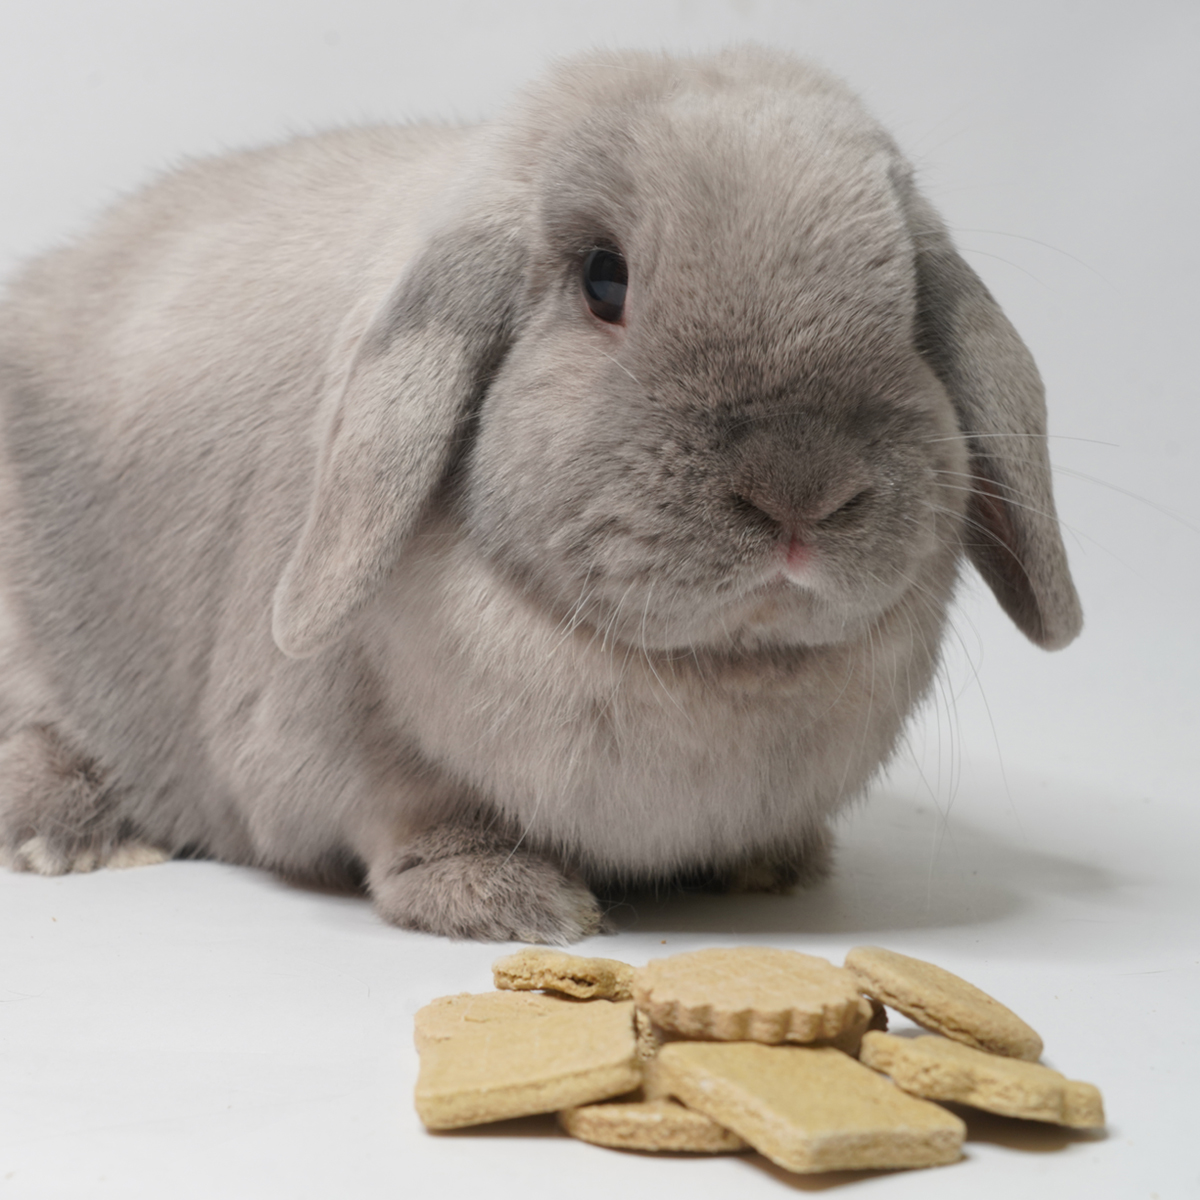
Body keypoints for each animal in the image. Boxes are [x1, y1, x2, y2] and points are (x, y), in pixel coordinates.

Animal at [0, 46, 1081, 942]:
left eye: (907, 301)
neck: (718, 675)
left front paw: (776, 865)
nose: (801, 493)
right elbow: (417, 820)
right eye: (606, 280)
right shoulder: (346, 763)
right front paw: (516, 903)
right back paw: (70, 836)